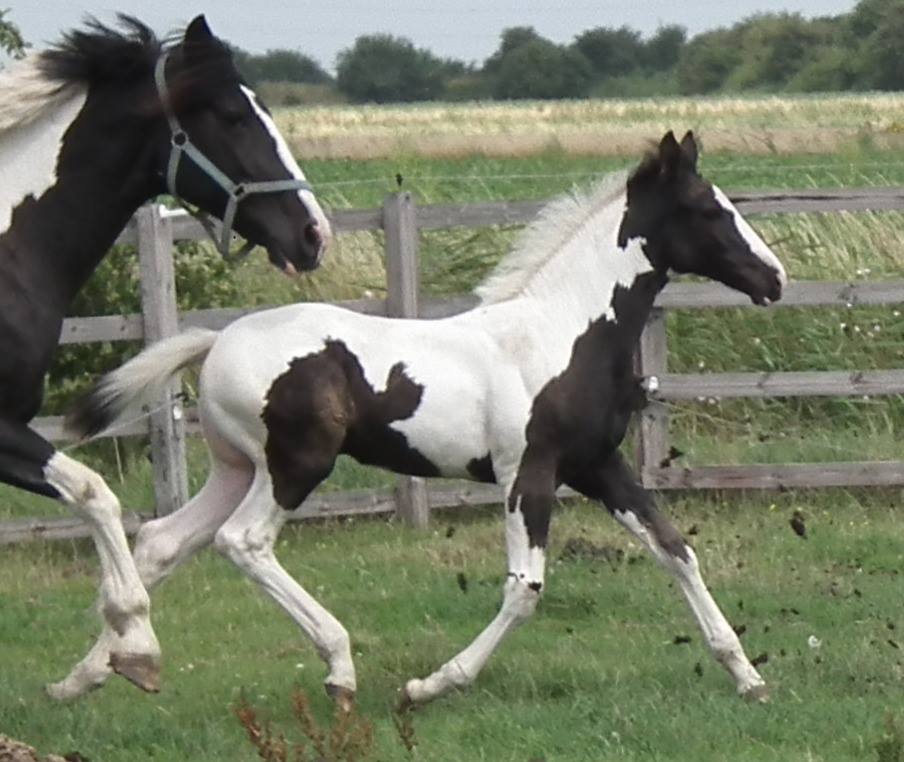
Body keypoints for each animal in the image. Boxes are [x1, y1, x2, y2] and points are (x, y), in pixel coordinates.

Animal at [63, 131, 784, 708]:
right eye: (706, 209)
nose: (773, 279)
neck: (561, 333)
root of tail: (216, 342)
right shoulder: (529, 473)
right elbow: (525, 589)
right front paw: (430, 685)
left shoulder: (598, 466)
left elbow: (675, 549)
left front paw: (747, 676)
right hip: (295, 466)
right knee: (241, 542)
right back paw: (339, 669)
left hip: (237, 468)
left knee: (163, 540)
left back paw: (95, 673)